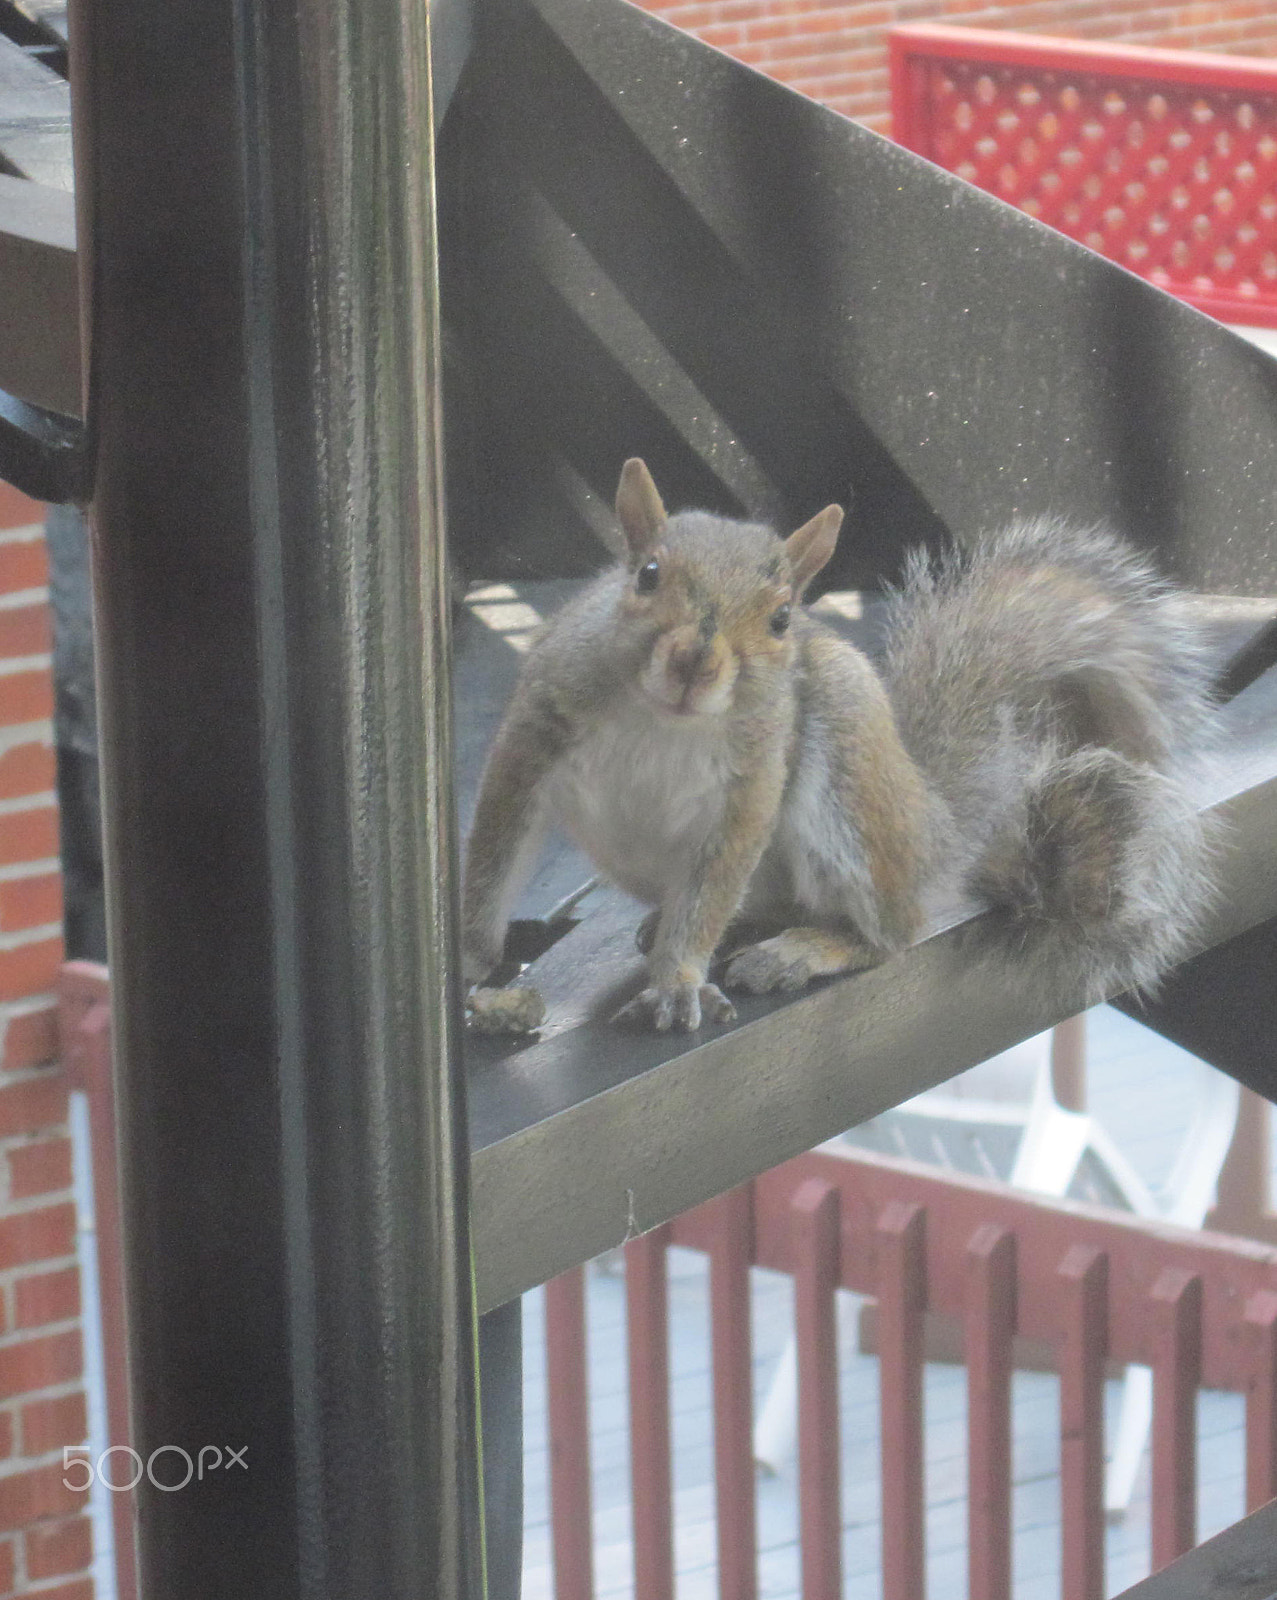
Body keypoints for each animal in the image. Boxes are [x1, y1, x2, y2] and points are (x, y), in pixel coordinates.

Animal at [464, 457, 1222, 1030]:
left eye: (780, 619)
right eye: (647, 575)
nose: (694, 664)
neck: (664, 718)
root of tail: (937, 832)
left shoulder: (751, 780)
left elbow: (714, 882)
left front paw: (677, 980)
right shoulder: (535, 731)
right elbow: (497, 849)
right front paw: (470, 960)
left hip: (849, 766)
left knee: (892, 935)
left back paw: (804, 951)